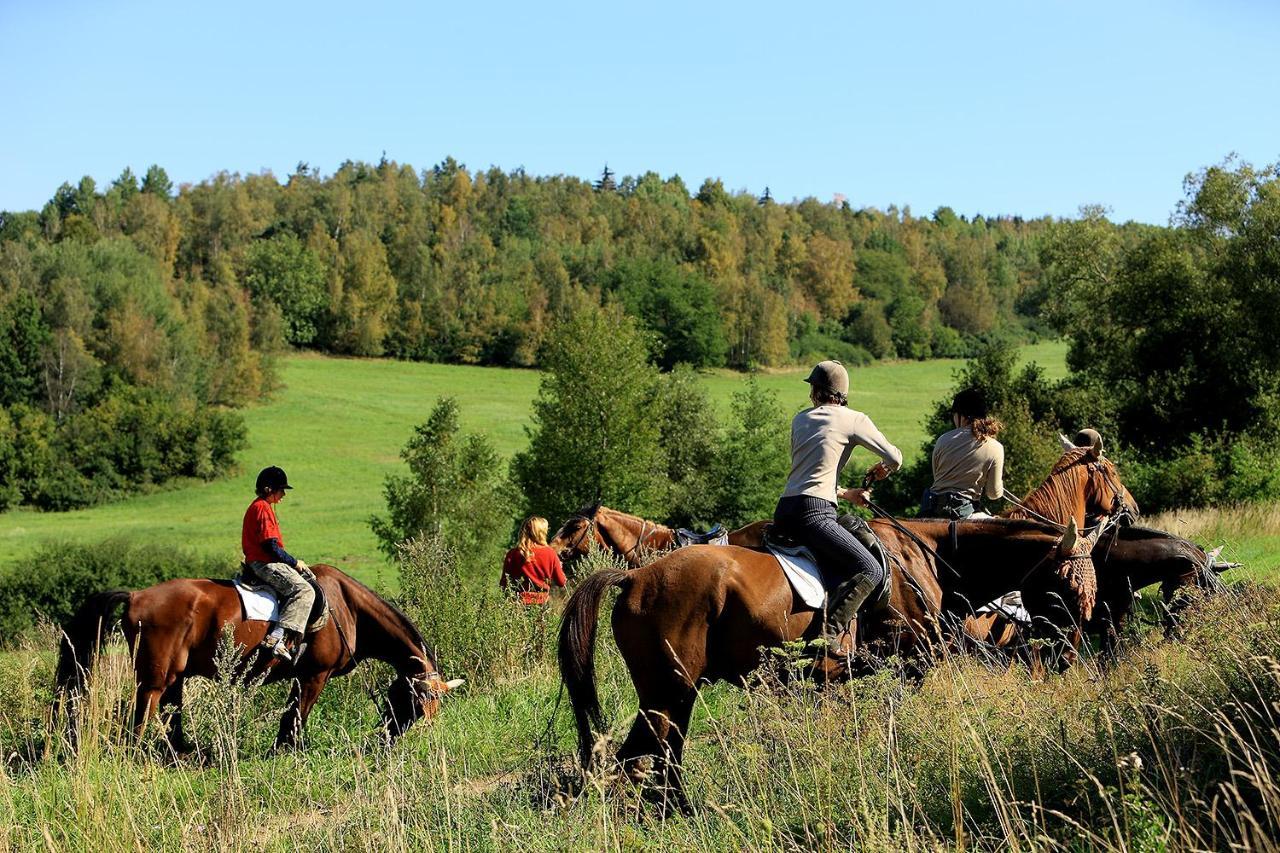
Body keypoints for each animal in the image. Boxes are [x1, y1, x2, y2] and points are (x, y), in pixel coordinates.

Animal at [57, 560, 465, 747]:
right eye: (417, 703)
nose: (390, 738)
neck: (345, 608)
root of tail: (136, 595)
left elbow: (290, 715)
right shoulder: (313, 676)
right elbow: (296, 716)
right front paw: (289, 749)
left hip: (175, 677)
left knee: (172, 714)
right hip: (154, 679)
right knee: (142, 716)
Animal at [558, 517, 1090, 804]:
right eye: (1067, 580)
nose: (1072, 647)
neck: (924, 560)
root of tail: (637, 577)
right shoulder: (908, 668)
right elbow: (892, 727)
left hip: (674, 693)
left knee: (659, 754)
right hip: (668, 689)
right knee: (641, 753)